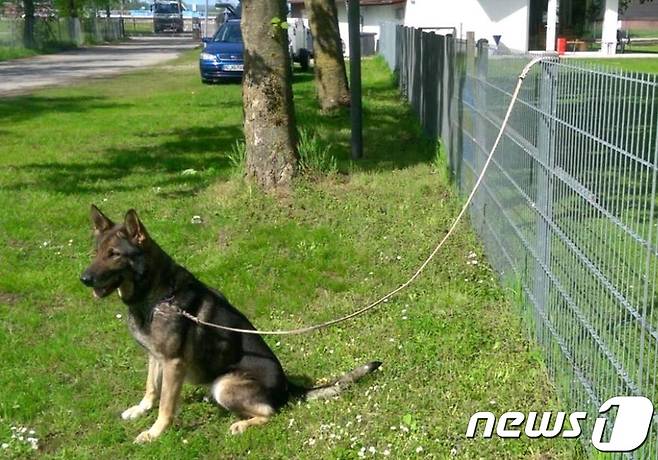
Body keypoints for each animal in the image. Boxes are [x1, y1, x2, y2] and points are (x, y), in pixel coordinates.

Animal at [80, 207, 380, 444]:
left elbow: (166, 404)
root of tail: (287, 387)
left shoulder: (173, 363)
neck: (157, 297)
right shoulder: (156, 356)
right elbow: (152, 388)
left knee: (271, 412)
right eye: (96, 252)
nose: (83, 279)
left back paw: (241, 425)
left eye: (114, 254)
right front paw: (140, 410)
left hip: (224, 385)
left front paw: (155, 433)